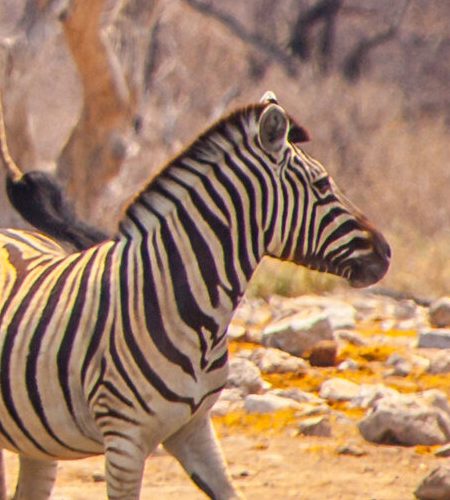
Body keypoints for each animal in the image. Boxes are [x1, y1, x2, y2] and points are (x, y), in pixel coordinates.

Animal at [0, 92, 388, 498]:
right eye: (323, 185)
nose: (386, 252)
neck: (178, 301)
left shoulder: (194, 428)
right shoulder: (124, 440)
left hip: (38, 441)